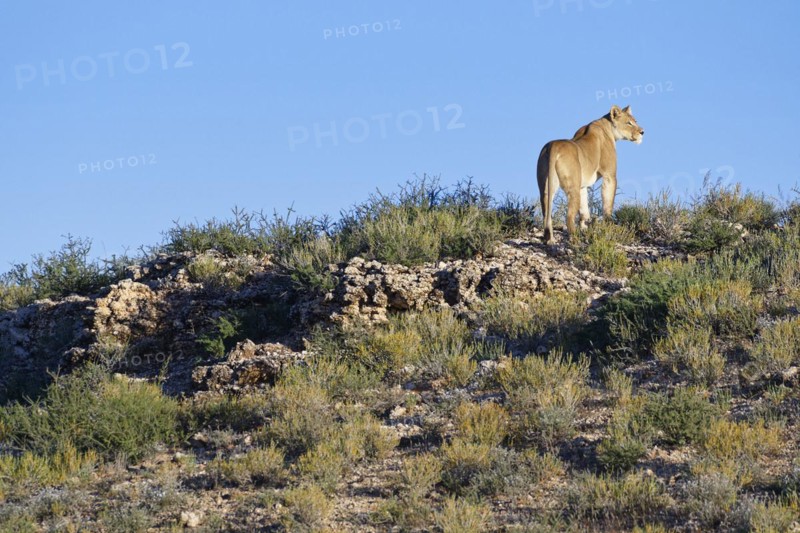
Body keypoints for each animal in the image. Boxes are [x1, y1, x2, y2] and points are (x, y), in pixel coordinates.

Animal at [537, 105, 644, 244]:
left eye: (635, 121)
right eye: (629, 123)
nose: (642, 132)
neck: (608, 127)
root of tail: (553, 146)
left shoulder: (582, 186)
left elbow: (584, 210)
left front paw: (585, 228)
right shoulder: (610, 175)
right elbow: (608, 204)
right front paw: (608, 226)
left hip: (546, 187)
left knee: (546, 213)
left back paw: (549, 239)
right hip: (573, 187)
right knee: (569, 216)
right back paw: (574, 238)